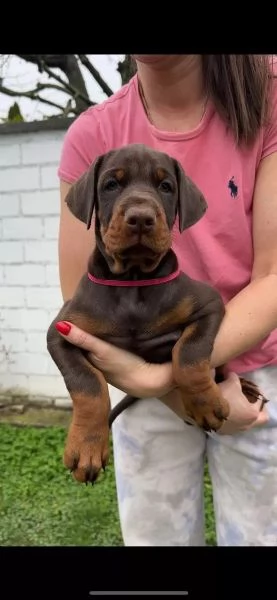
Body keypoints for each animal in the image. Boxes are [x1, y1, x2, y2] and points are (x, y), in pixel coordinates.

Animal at [46, 143, 264, 486]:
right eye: (111, 184)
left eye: (166, 186)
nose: (140, 218)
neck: (134, 280)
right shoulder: (62, 329)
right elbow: (86, 383)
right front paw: (87, 447)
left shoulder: (209, 305)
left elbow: (189, 354)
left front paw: (205, 403)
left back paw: (244, 387)